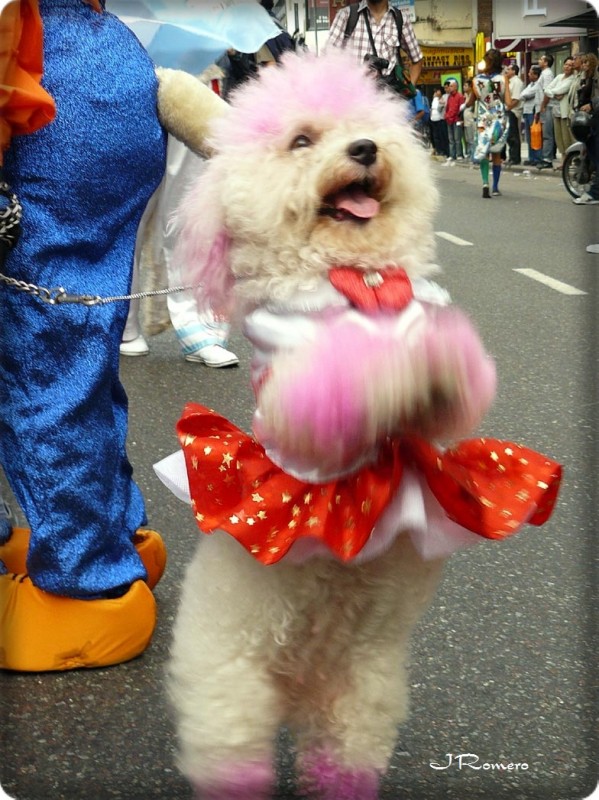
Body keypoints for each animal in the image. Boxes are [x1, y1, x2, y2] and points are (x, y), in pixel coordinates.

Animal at [161, 48, 564, 800]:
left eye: (365, 127)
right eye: (301, 140)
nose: (366, 149)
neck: (361, 279)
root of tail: (301, 676)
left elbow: (449, 380)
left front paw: (432, 358)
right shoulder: (297, 385)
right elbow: (348, 385)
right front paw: (394, 367)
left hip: (360, 694)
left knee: (339, 759)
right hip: (231, 689)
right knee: (233, 761)